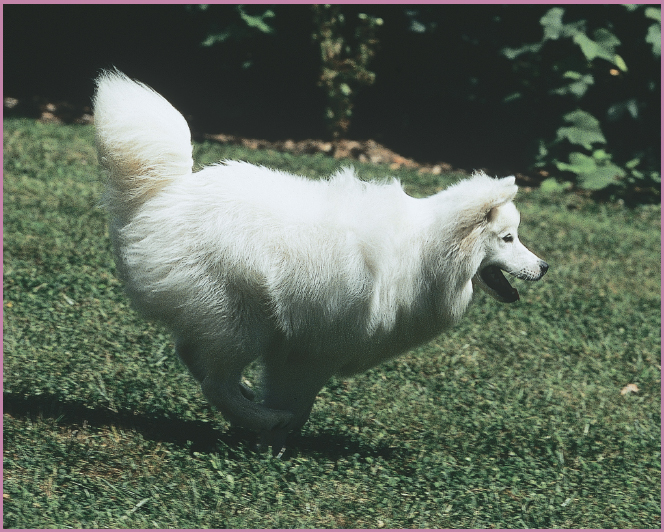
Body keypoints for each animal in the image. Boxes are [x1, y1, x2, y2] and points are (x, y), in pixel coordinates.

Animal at [93, 69, 548, 454]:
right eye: (509, 238)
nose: (544, 267)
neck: (426, 252)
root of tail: (166, 195)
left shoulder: (299, 351)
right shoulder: (309, 352)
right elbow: (297, 408)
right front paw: (272, 439)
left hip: (226, 323)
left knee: (195, 358)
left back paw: (246, 399)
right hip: (240, 322)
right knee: (214, 384)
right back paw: (259, 414)